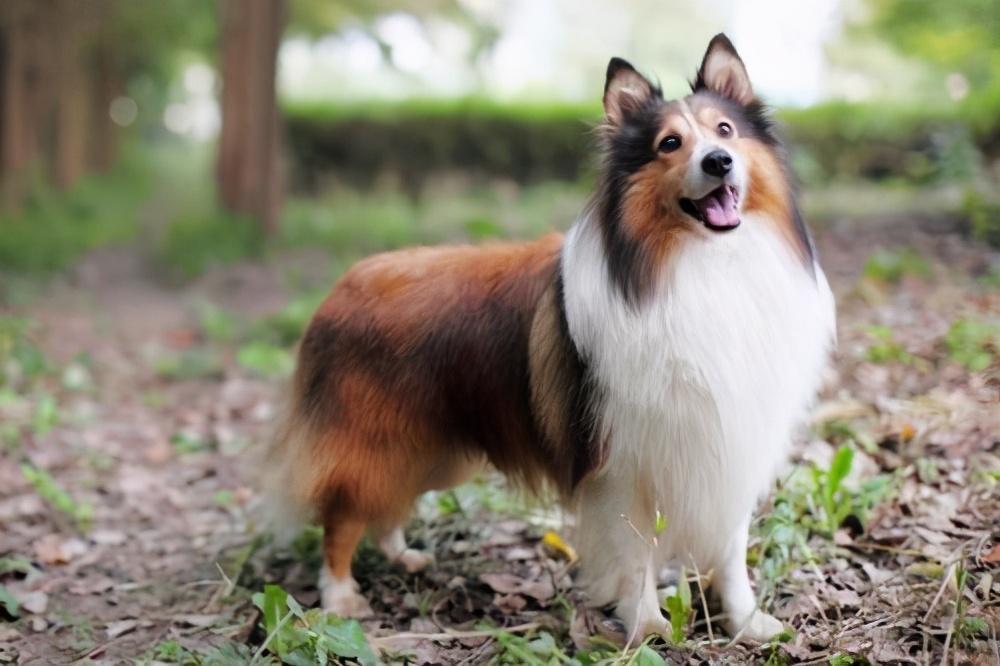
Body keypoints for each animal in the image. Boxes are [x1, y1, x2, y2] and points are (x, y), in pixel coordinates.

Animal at [260, 33, 836, 640]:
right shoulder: (622, 463)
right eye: (669, 144)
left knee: (383, 505)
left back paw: (401, 554)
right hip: (379, 441)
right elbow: (635, 556)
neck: (696, 267)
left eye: (725, 130)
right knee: (344, 513)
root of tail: (337, 290)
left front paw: (747, 622)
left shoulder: (730, 445)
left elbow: (730, 551)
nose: (718, 161)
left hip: (432, 449)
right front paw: (645, 628)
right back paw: (340, 595)